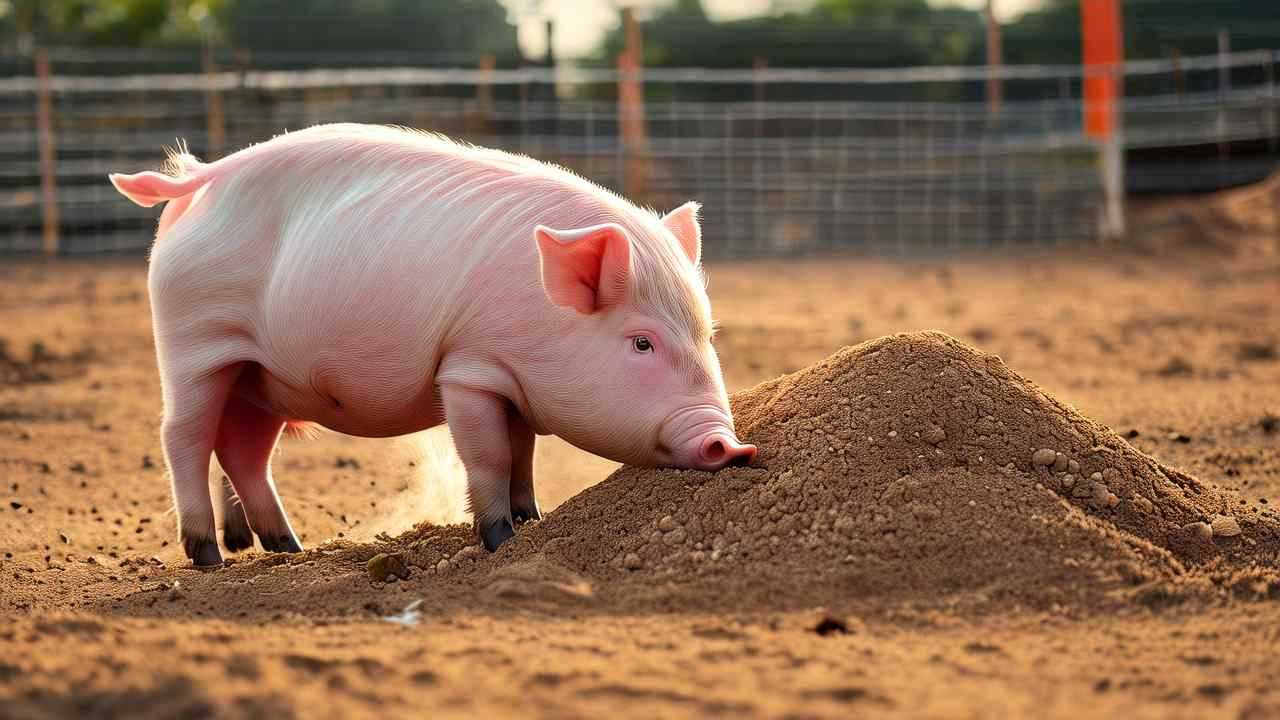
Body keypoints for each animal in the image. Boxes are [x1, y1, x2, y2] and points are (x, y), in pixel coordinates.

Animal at [112, 120, 747, 563]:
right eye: (641, 343)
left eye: (707, 334)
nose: (730, 444)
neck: (541, 317)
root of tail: (205, 174)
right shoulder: (470, 369)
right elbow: (490, 455)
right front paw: (500, 539)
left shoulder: (516, 386)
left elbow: (523, 456)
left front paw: (533, 519)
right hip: (193, 342)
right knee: (184, 437)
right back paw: (209, 558)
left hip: (257, 377)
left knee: (243, 451)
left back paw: (288, 549)